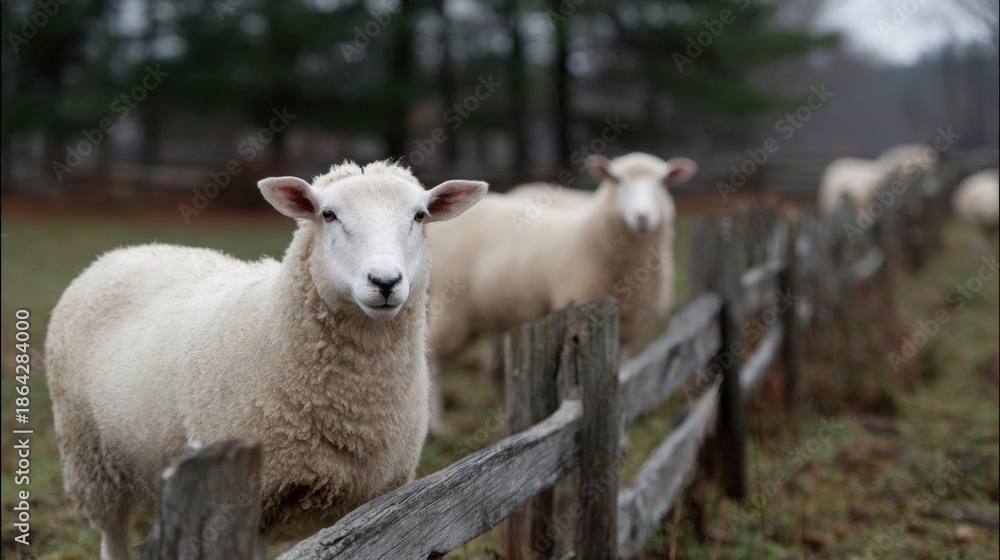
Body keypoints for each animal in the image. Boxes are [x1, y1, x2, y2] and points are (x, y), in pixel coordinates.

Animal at [44, 160, 487, 560]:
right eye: (328, 214)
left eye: (419, 215)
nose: (385, 281)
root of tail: (124, 252)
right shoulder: (254, 502)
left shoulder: (371, 498)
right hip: (91, 459)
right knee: (112, 536)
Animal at [425, 152, 696, 434]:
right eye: (617, 180)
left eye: (663, 181)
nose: (642, 217)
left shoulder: (628, 332)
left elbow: (620, 377)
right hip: (450, 307)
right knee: (435, 361)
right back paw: (437, 426)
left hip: (499, 312)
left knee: (498, 370)